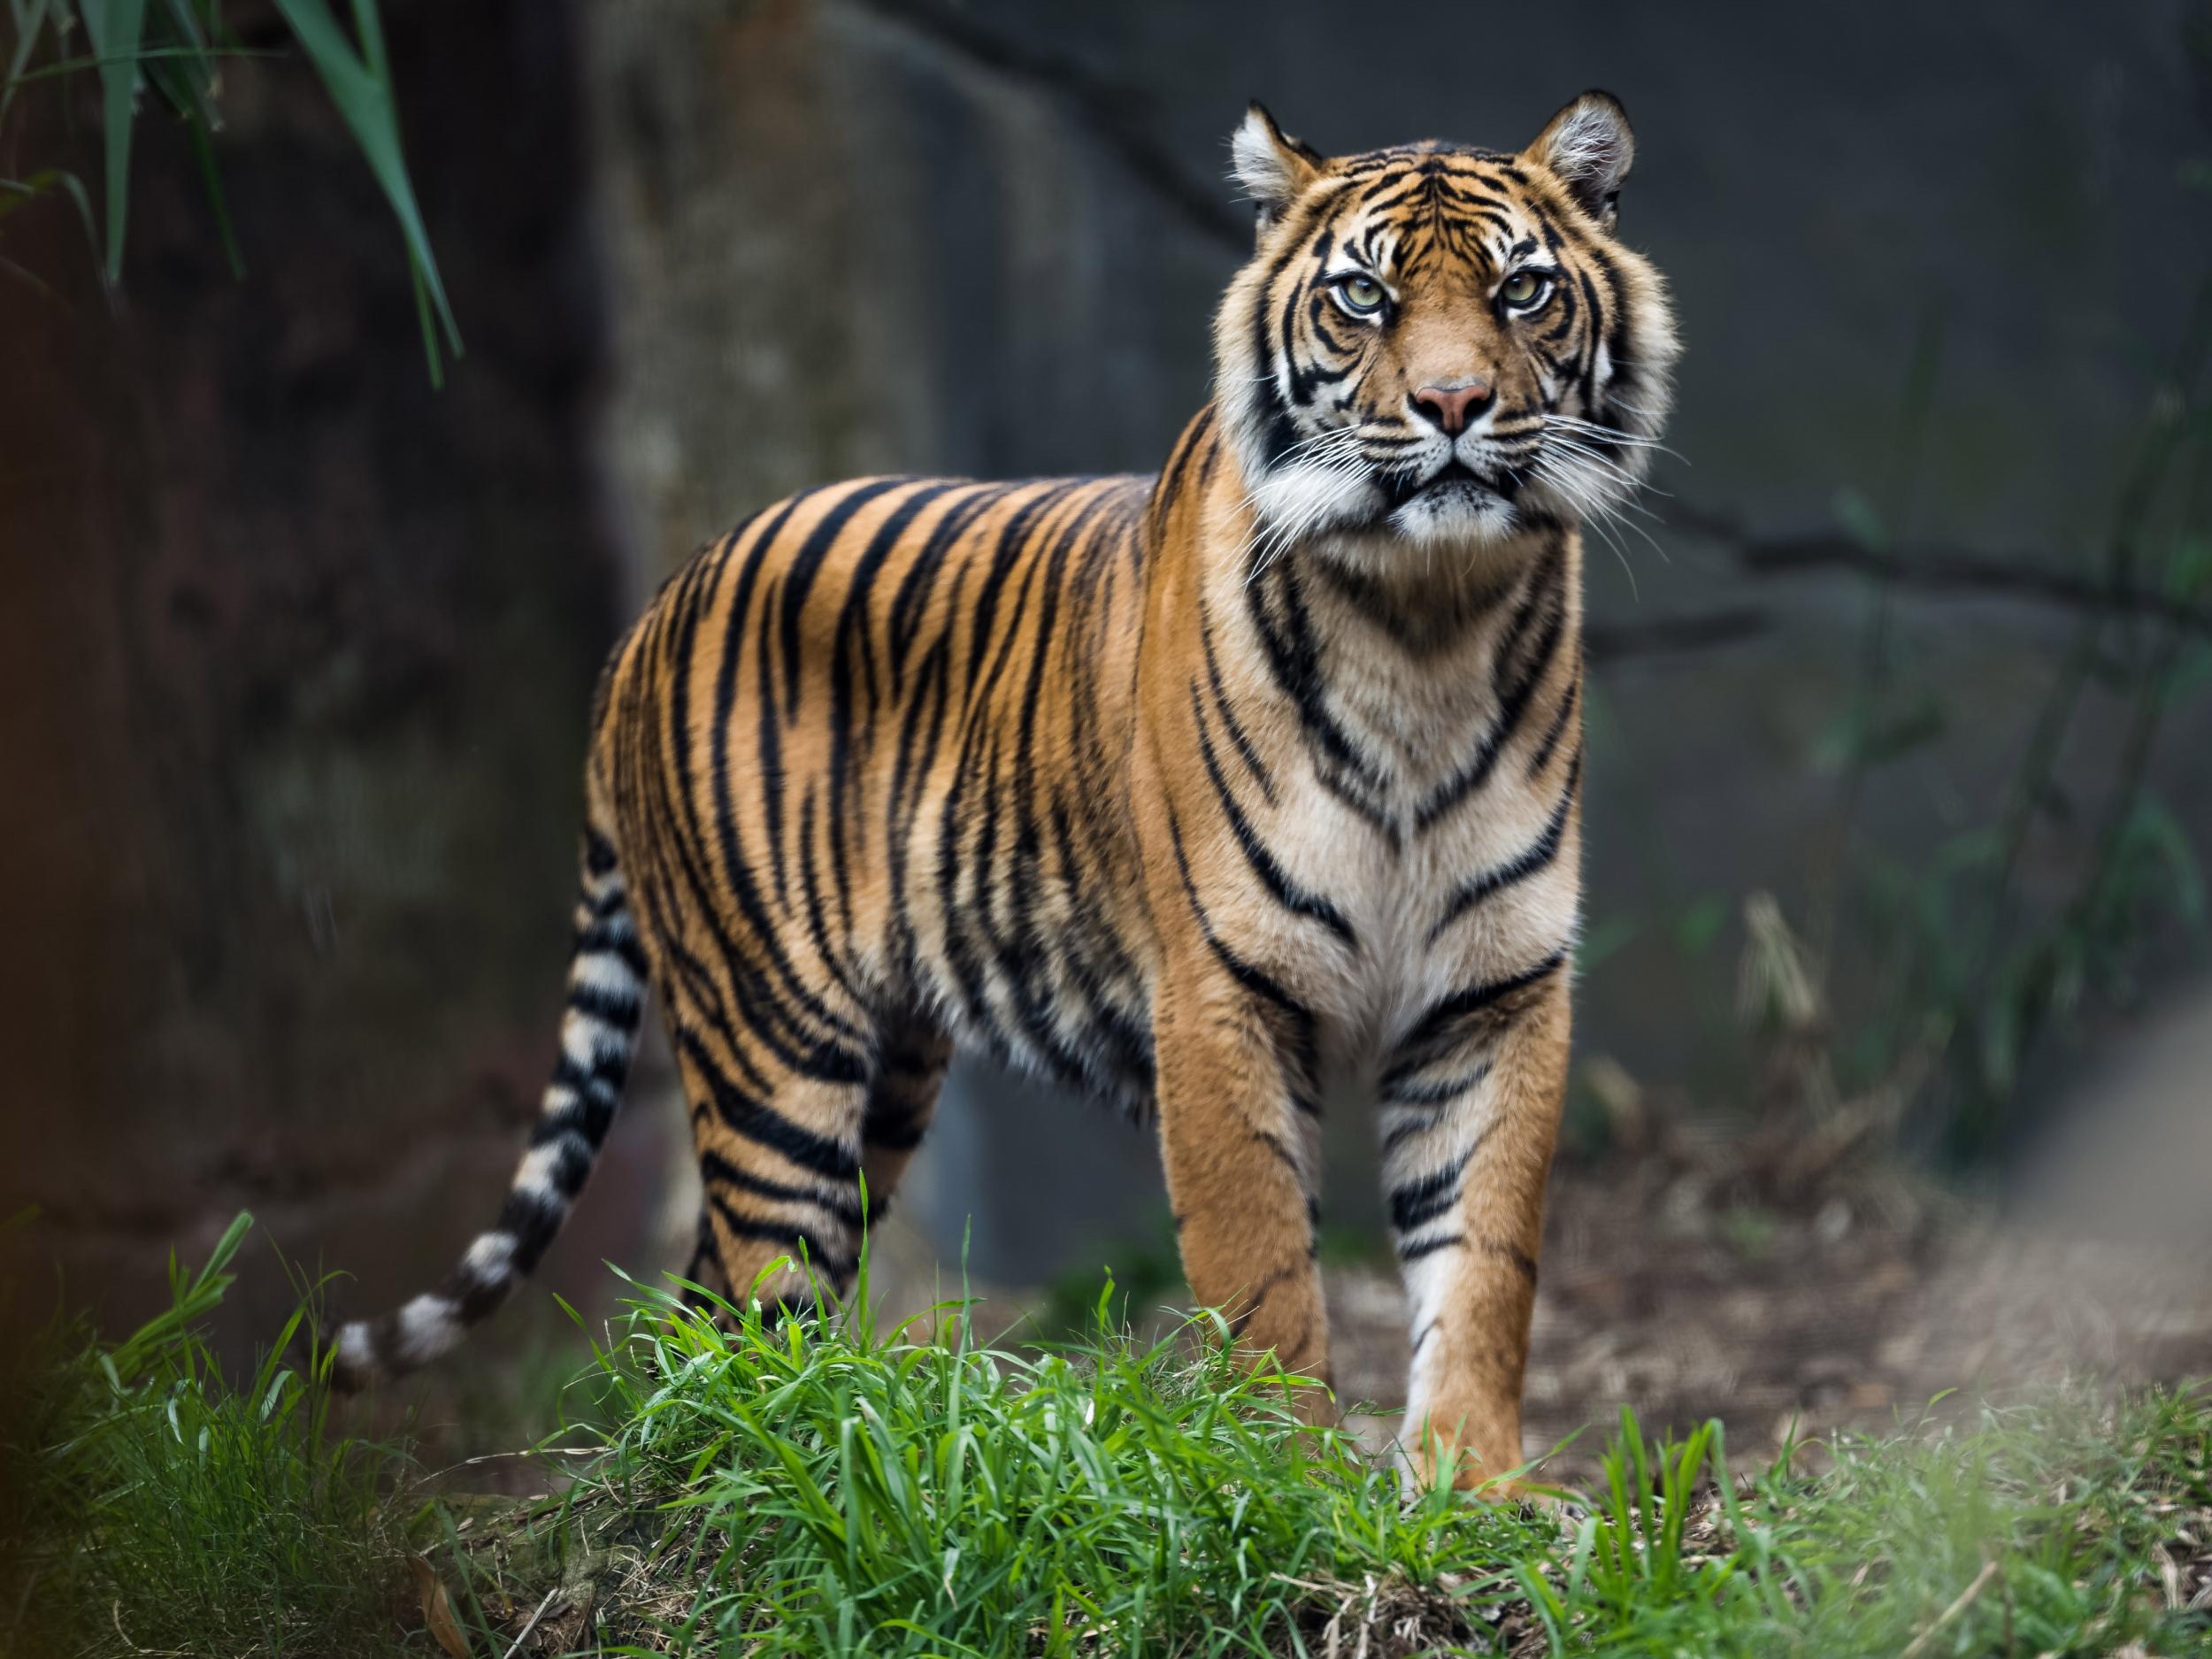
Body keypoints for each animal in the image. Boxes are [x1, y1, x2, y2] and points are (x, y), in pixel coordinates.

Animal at [332, 88, 1672, 1495]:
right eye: (1363, 296)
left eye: (1522, 291)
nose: (1454, 401)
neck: (1426, 622)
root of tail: (645, 619)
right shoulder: (1219, 996)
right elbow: (1264, 1276)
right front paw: (1288, 1486)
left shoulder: (1495, 993)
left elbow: (1486, 1263)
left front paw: (1477, 1490)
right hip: (774, 1050)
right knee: (753, 1282)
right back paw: (783, 1460)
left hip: (887, 1070)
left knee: (706, 1302)